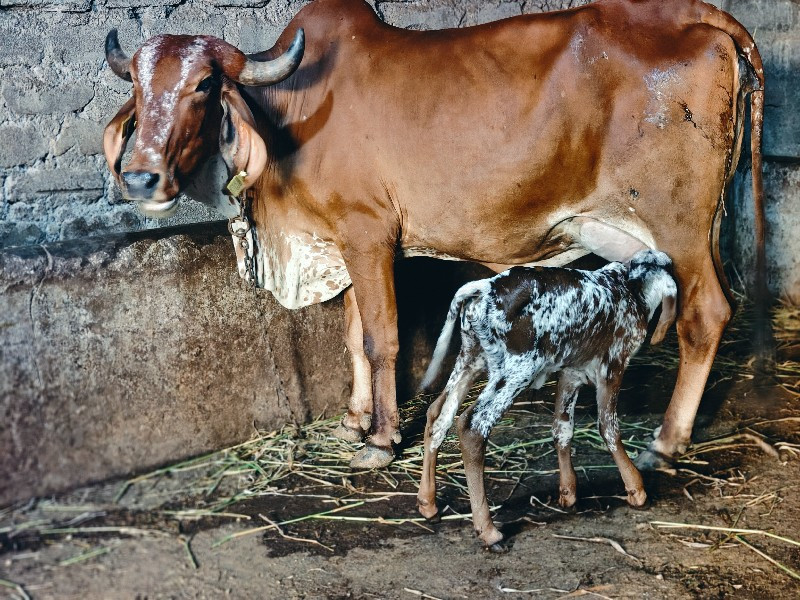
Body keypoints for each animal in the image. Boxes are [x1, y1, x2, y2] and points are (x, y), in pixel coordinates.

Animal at [103, 0, 764, 468]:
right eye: (136, 84)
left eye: (203, 86)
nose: (139, 176)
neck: (291, 111)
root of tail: (690, 13)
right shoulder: (343, 244)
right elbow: (353, 336)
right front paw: (354, 419)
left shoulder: (368, 233)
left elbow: (381, 340)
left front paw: (381, 439)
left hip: (680, 225)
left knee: (707, 314)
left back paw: (667, 441)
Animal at [418, 250, 676, 552]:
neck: (629, 287)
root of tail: (483, 287)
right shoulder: (612, 365)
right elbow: (608, 427)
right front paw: (636, 489)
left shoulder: (571, 371)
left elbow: (562, 427)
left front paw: (568, 492)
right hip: (517, 370)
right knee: (472, 425)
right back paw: (488, 530)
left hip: (470, 359)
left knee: (438, 414)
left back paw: (428, 504)